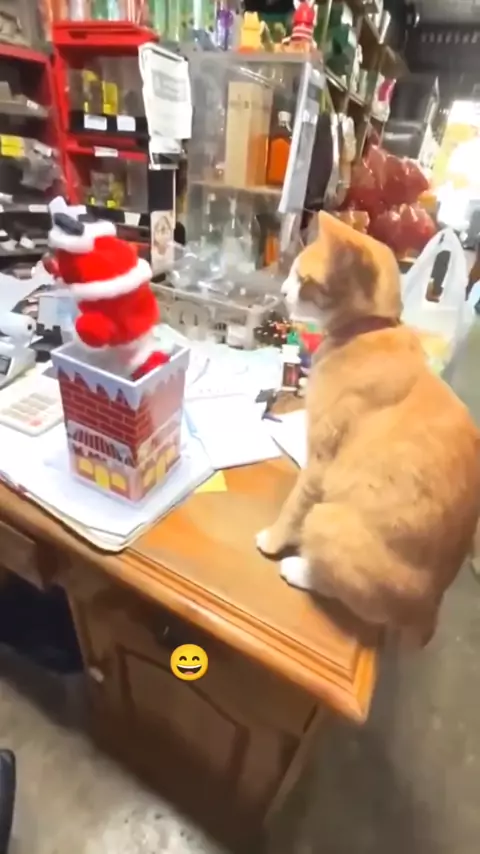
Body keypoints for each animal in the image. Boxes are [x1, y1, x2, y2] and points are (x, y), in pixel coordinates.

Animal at [257, 212, 480, 646]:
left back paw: (299, 568)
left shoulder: (319, 463)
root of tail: (430, 610)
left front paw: (273, 541)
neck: (371, 330)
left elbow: (293, 508)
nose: (284, 290)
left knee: (351, 597)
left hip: (327, 518)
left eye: (301, 277)